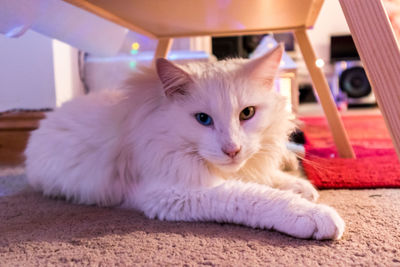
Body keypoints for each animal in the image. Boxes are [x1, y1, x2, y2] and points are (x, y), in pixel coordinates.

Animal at [24, 44, 344, 241]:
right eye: (203, 119)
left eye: (247, 114)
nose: (232, 150)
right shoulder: (174, 192)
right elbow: (253, 196)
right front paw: (312, 213)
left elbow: (263, 177)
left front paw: (300, 185)